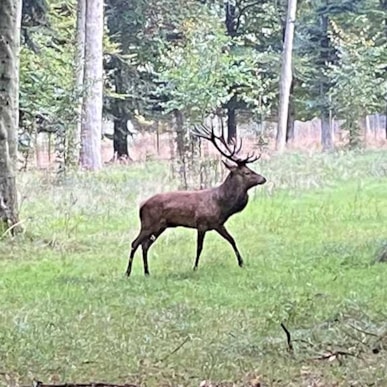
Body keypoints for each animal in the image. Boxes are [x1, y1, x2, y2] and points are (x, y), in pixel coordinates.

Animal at [126, 121, 266, 276]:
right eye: (247, 172)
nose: (263, 178)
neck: (222, 205)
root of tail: (141, 206)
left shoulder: (218, 224)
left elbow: (232, 240)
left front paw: (241, 263)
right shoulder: (202, 223)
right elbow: (199, 247)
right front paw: (195, 267)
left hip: (160, 226)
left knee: (145, 245)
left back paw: (147, 272)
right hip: (148, 223)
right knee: (134, 243)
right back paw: (128, 272)